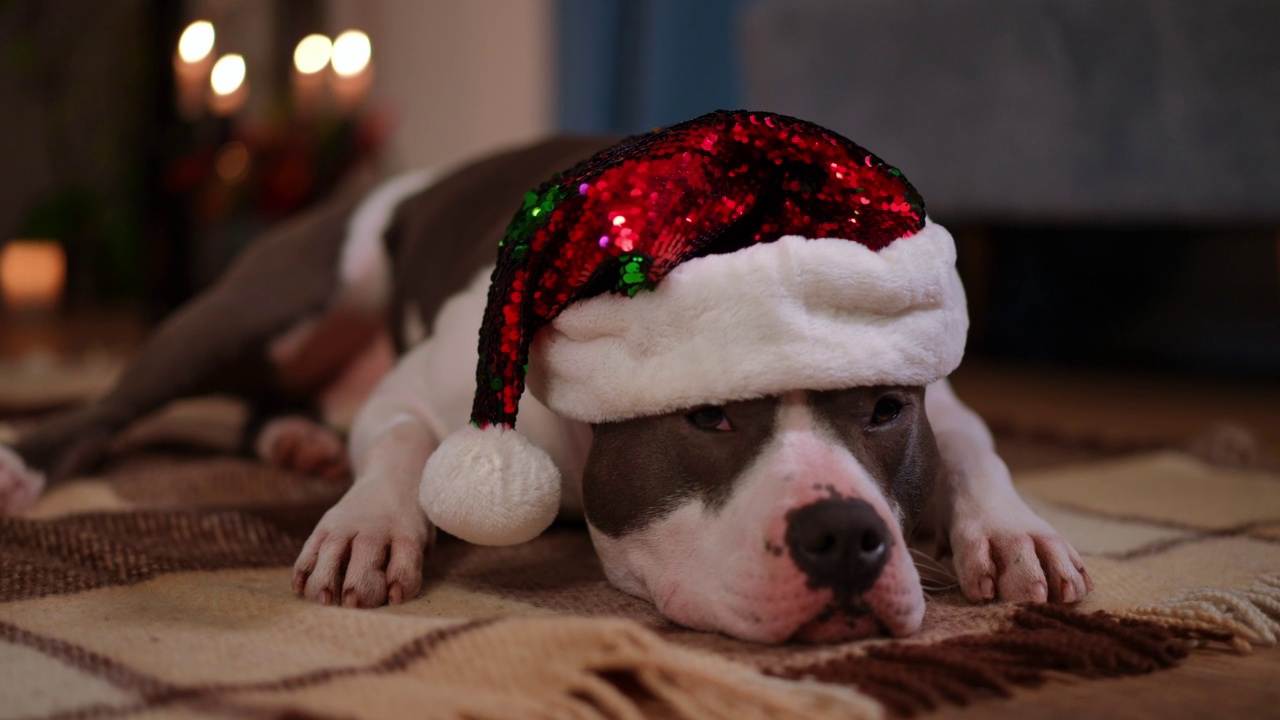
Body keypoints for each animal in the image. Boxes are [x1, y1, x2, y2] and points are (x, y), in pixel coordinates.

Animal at [0, 113, 1090, 645]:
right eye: (706, 417)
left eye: (882, 410)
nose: (846, 537)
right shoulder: (419, 394)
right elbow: (404, 444)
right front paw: (366, 528)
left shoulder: (932, 375)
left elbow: (975, 444)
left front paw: (1013, 532)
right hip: (270, 305)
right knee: (110, 409)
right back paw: (24, 463)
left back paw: (298, 438)